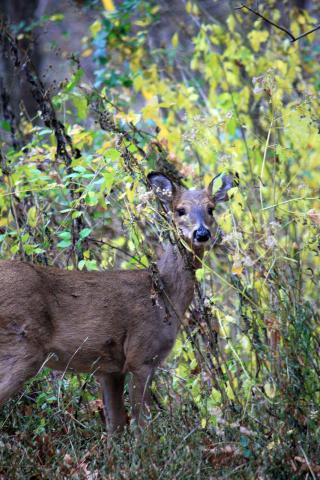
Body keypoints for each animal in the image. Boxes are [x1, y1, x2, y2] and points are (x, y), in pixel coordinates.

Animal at [0, 172, 232, 432]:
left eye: (211, 209)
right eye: (180, 210)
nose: (201, 234)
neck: (165, 297)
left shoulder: (110, 369)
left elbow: (116, 426)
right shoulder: (141, 355)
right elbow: (143, 426)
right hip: (20, 348)